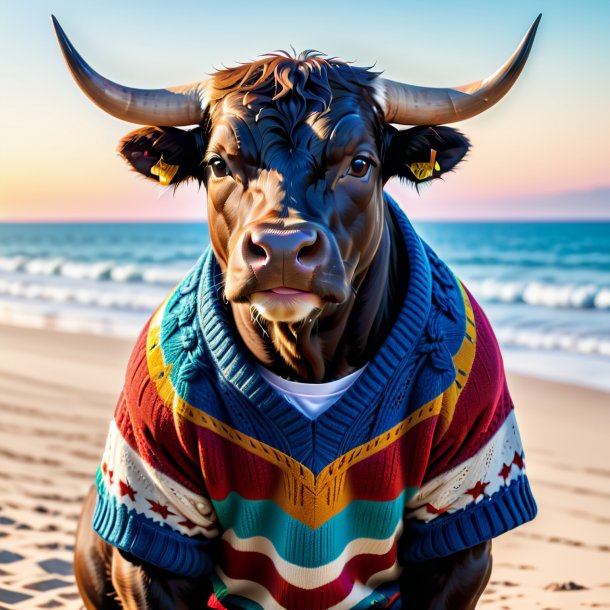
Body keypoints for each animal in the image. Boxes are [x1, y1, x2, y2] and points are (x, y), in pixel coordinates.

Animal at [52, 15, 536, 608]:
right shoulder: (150, 514)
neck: (310, 360)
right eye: (218, 163)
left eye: (359, 163)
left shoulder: (464, 515)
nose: (282, 249)